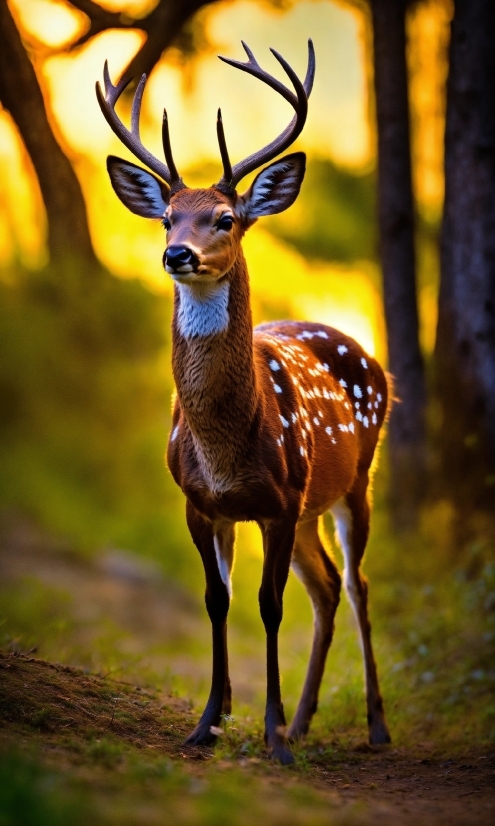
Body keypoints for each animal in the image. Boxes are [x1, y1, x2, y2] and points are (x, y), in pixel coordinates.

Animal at [96, 37, 392, 760]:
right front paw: (209, 721)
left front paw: (271, 735)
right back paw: (308, 718)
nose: (177, 253)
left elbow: (269, 604)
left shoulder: (280, 500)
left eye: (225, 219)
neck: (226, 446)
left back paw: (370, 725)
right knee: (328, 587)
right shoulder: (201, 502)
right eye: (167, 217)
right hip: (313, 506)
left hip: (352, 482)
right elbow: (218, 599)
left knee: (357, 584)